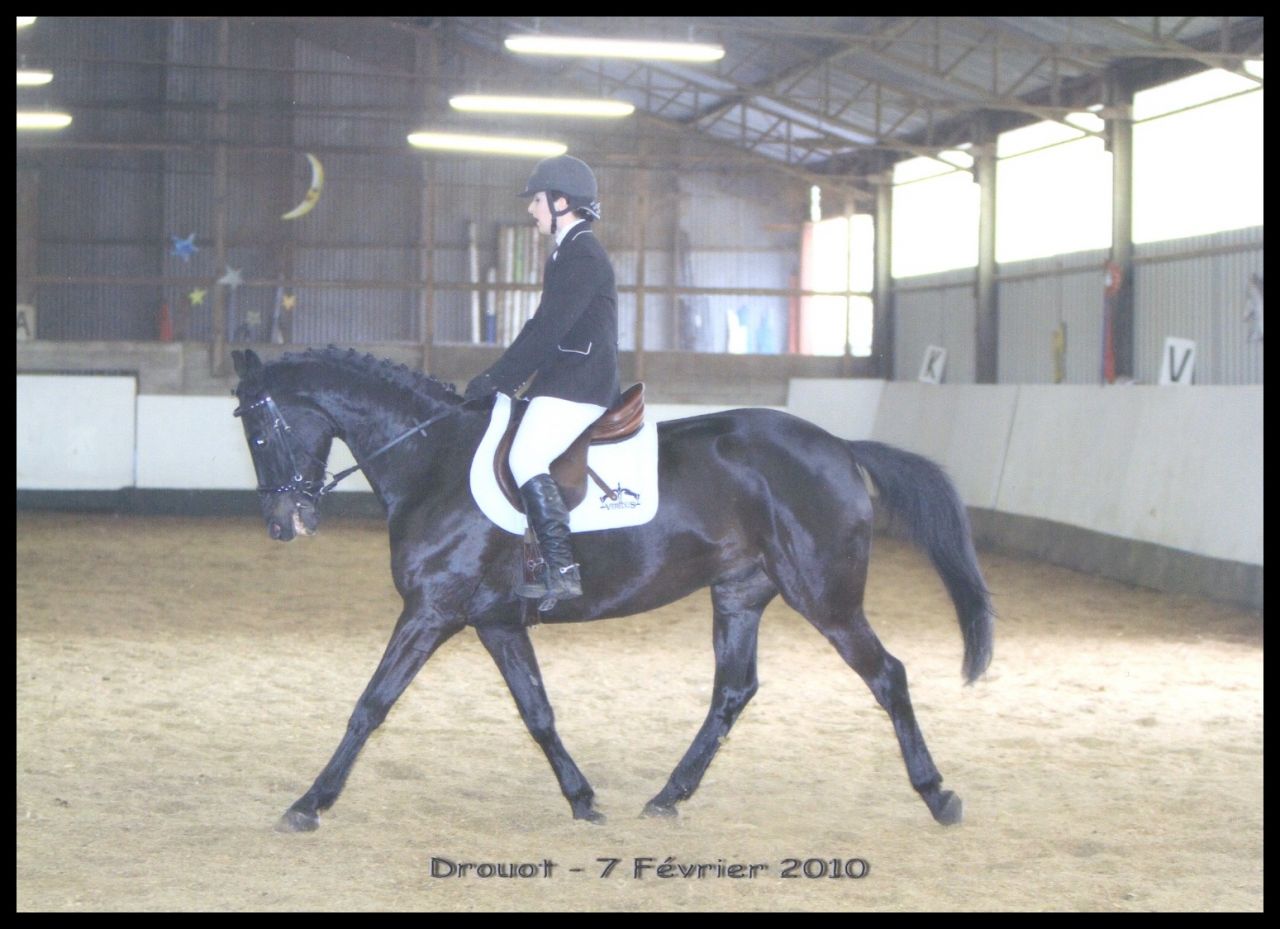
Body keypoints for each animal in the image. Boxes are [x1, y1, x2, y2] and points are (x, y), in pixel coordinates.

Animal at [230, 347, 994, 833]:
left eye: (258, 430)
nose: (284, 523)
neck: (433, 460)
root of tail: (839, 445)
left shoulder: (430, 612)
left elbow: (370, 706)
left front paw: (309, 803)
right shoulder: (496, 622)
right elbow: (538, 713)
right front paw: (582, 798)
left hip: (825, 597)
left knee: (887, 675)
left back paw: (938, 795)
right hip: (740, 593)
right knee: (733, 691)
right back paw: (667, 796)